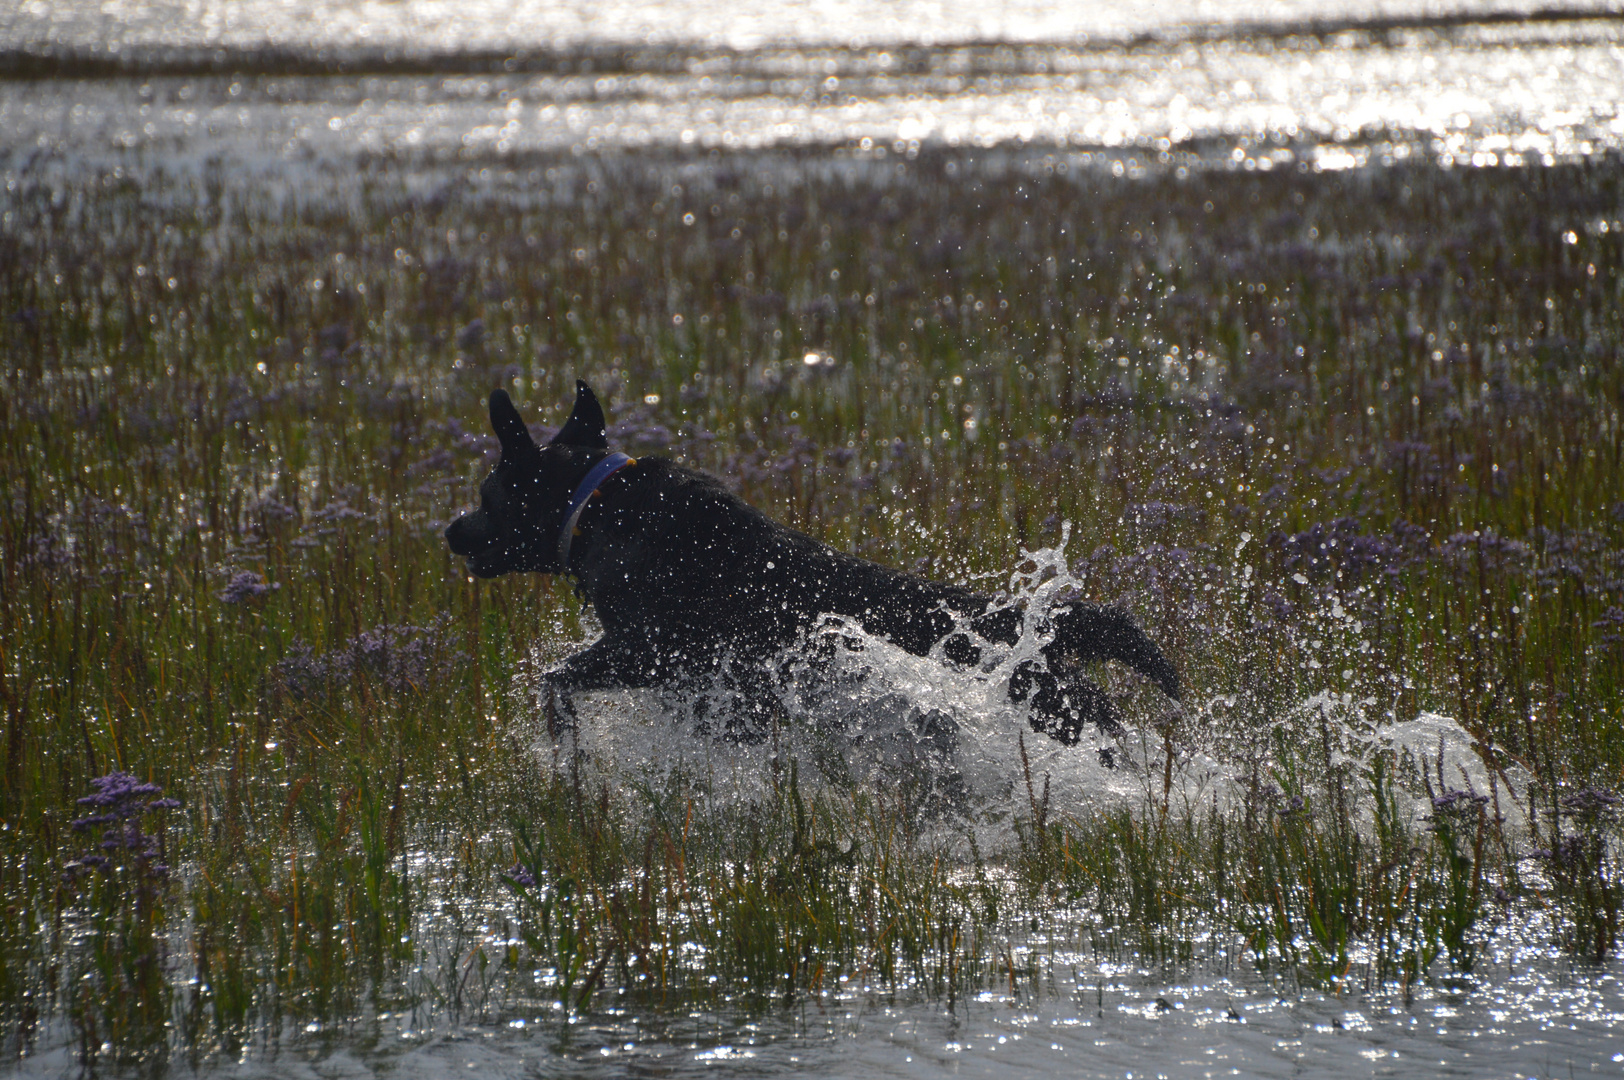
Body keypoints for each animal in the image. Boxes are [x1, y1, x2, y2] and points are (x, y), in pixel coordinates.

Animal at [444, 383, 1182, 747]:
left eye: (486, 494)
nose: (451, 530)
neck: (595, 507)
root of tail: (1054, 630)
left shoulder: (651, 650)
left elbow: (556, 680)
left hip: (1055, 712)